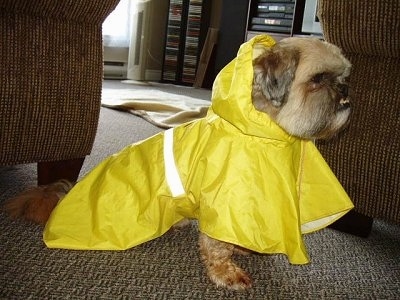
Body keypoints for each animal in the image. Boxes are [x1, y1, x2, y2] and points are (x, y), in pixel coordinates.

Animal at [4, 35, 352, 290]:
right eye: (319, 78)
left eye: (344, 76)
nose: (346, 91)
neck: (262, 134)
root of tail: (64, 197)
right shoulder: (224, 199)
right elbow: (217, 245)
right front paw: (227, 273)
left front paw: (246, 247)